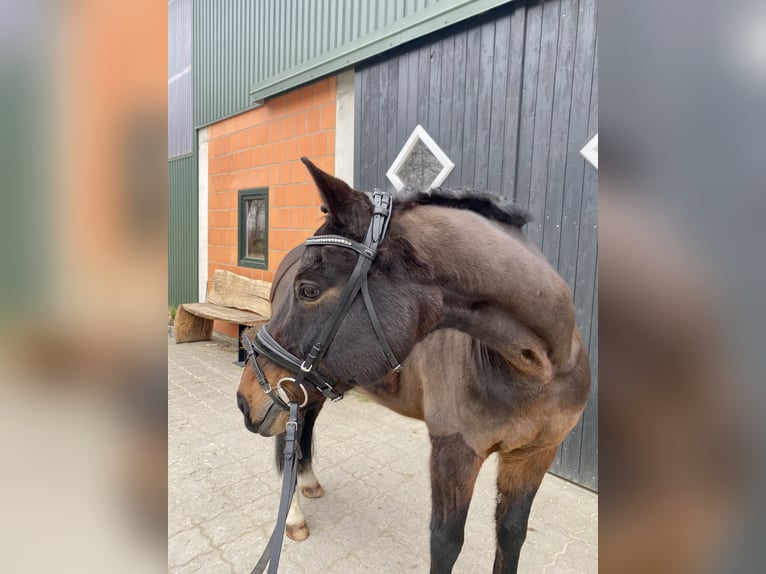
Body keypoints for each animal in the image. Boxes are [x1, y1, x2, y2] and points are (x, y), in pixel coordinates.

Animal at [237, 159, 592, 574]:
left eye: (308, 290)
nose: (245, 398)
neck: (537, 373)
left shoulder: (535, 455)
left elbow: (511, 534)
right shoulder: (454, 453)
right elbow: (446, 543)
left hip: (309, 391)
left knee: (303, 431)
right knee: (287, 444)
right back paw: (292, 518)